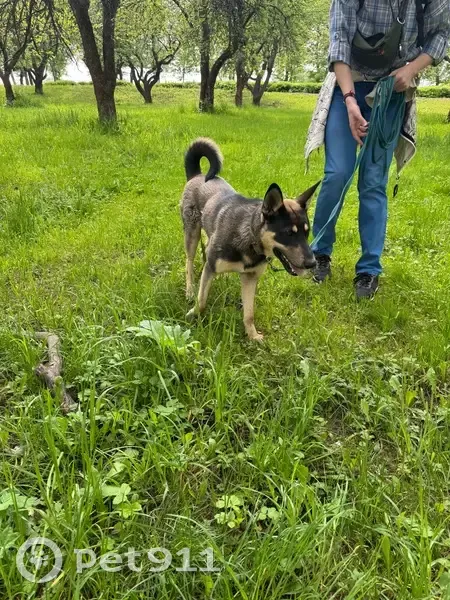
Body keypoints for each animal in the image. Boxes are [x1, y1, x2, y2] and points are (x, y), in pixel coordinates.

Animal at [180, 138, 320, 341]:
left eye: (306, 232)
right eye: (289, 233)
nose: (312, 263)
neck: (250, 239)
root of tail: (197, 175)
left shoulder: (250, 278)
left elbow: (249, 313)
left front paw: (253, 336)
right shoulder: (212, 268)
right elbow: (202, 301)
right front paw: (193, 314)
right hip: (191, 232)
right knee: (189, 262)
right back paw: (190, 289)